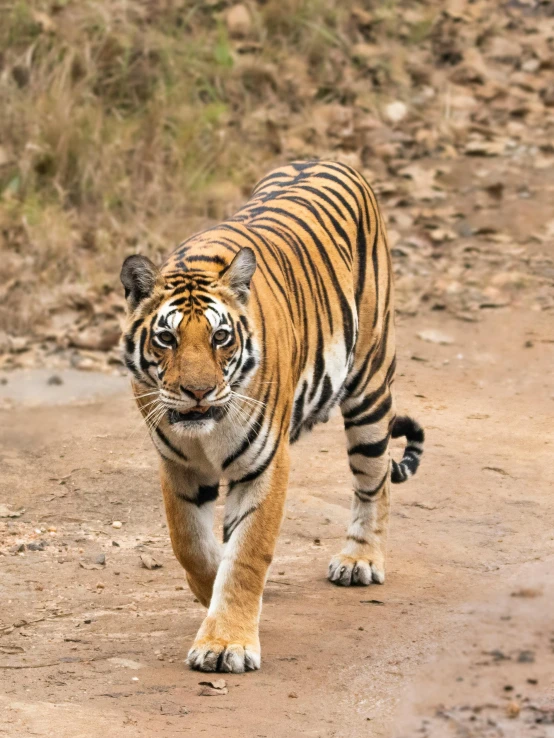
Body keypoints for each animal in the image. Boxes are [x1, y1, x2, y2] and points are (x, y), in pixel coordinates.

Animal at [119, 158, 422, 668]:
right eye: (167, 338)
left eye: (220, 337)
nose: (198, 392)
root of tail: (329, 159)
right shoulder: (178, 465)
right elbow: (192, 545)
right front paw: (210, 598)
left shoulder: (264, 464)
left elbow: (246, 554)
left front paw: (226, 643)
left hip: (370, 388)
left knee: (374, 480)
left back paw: (360, 560)